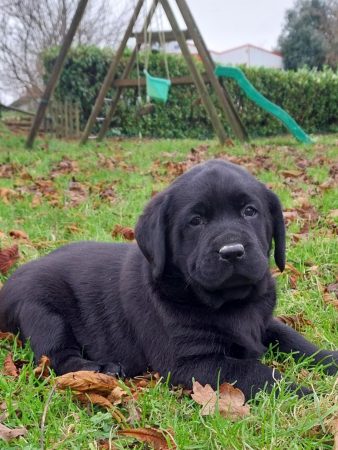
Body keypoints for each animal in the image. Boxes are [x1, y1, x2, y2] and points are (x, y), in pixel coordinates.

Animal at [0, 159, 338, 398]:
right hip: (42, 312)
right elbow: (258, 373)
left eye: (250, 211)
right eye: (196, 221)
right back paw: (99, 369)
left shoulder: (265, 322)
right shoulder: (192, 362)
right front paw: (306, 394)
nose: (231, 251)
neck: (231, 303)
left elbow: (296, 341)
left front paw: (331, 360)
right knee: (56, 355)